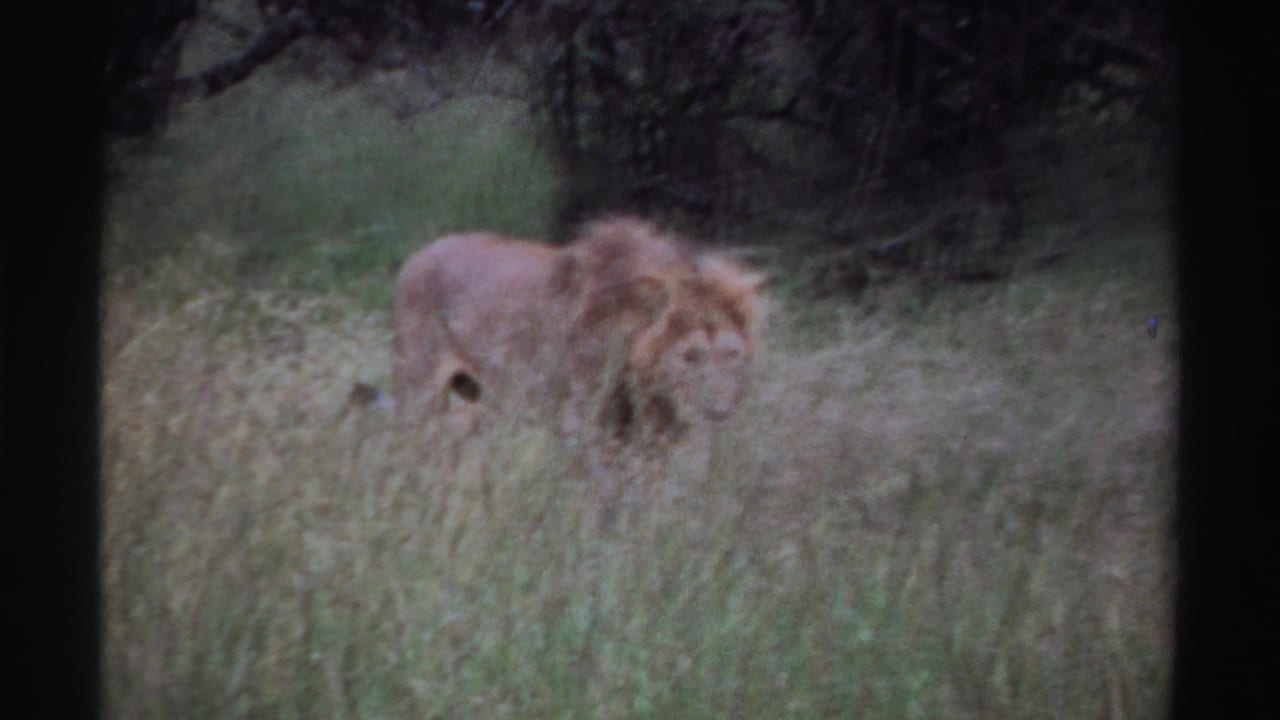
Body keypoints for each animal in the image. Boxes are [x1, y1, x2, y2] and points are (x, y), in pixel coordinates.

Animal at [391, 216, 767, 457]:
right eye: (691, 356)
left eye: (732, 355)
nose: (717, 412)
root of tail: (416, 257)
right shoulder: (583, 427)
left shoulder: (650, 437)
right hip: (418, 394)